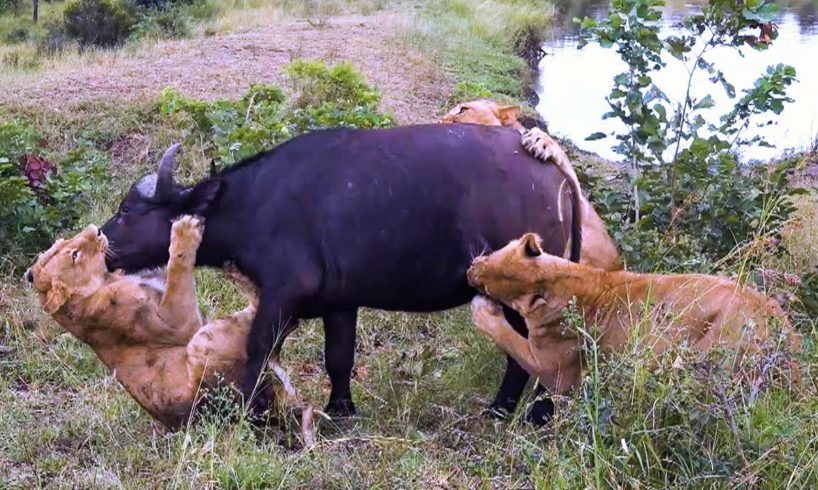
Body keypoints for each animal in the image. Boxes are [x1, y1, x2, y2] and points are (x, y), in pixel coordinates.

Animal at [100, 123, 580, 422]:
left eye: (126, 211)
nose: (101, 242)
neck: (254, 204)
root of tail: (554, 171)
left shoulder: (282, 292)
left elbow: (258, 349)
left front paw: (248, 412)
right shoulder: (340, 304)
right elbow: (339, 358)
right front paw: (341, 409)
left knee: (535, 352)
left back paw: (525, 413)